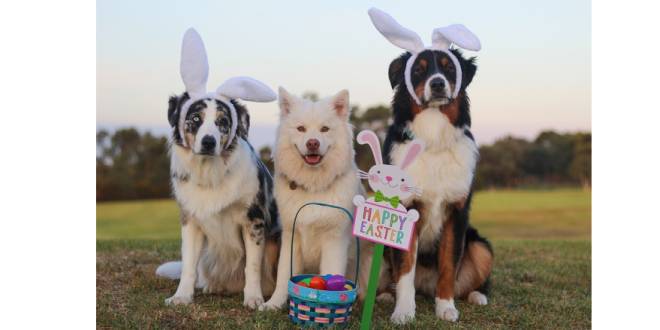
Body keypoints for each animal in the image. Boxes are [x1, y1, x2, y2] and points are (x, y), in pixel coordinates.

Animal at [378, 49, 492, 322]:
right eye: (418, 70)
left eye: (449, 68)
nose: (438, 83)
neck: (433, 135)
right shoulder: (406, 209)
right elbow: (405, 269)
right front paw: (404, 311)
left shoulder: (456, 213)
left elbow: (449, 266)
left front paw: (446, 307)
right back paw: (387, 295)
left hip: (480, 246)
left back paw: (477, 296)